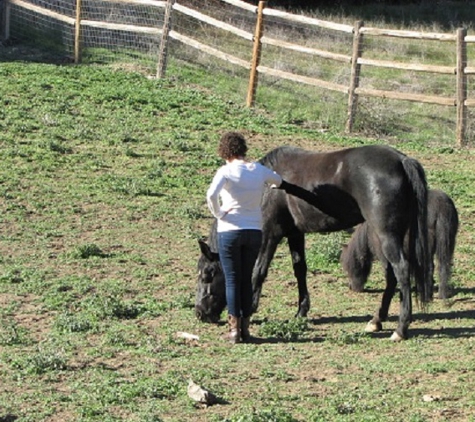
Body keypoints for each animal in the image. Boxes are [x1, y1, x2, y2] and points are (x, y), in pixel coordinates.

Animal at [195, 144, 434, 340]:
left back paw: (401, 329)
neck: (262, 189)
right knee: (391, 274)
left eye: (207, 274)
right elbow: (300, 269)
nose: (200, 313)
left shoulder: (270, 234)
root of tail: (401, 160)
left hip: (385, 234)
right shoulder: (294, 234)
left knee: (401, 269)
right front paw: (301, 311)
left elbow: (258, 271)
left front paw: (251, 309)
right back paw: (377, 320)